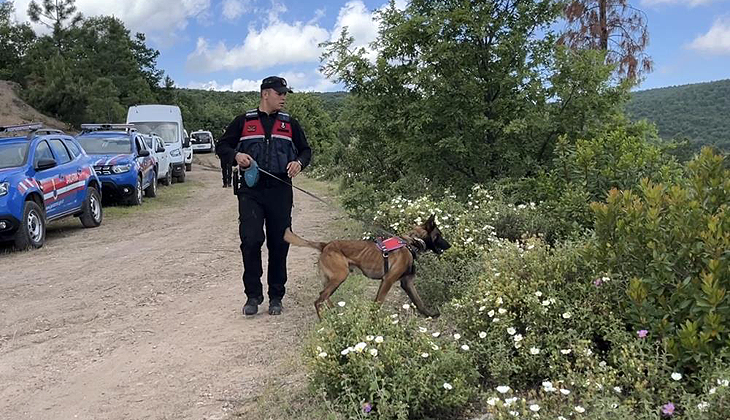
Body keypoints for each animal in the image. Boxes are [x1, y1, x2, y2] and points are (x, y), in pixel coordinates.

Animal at [284, 215, 450, 316]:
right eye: (439, 235)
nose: (450, 246)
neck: (411, 243)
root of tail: (326, 245)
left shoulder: (407, 282)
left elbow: (418, 301)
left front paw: (430, 314)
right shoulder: (388, 280)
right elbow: (378, 303)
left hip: (332, 279)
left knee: (324, 297)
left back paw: (336, 316)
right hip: (340, 276)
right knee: (319, 300)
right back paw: (324, 321)